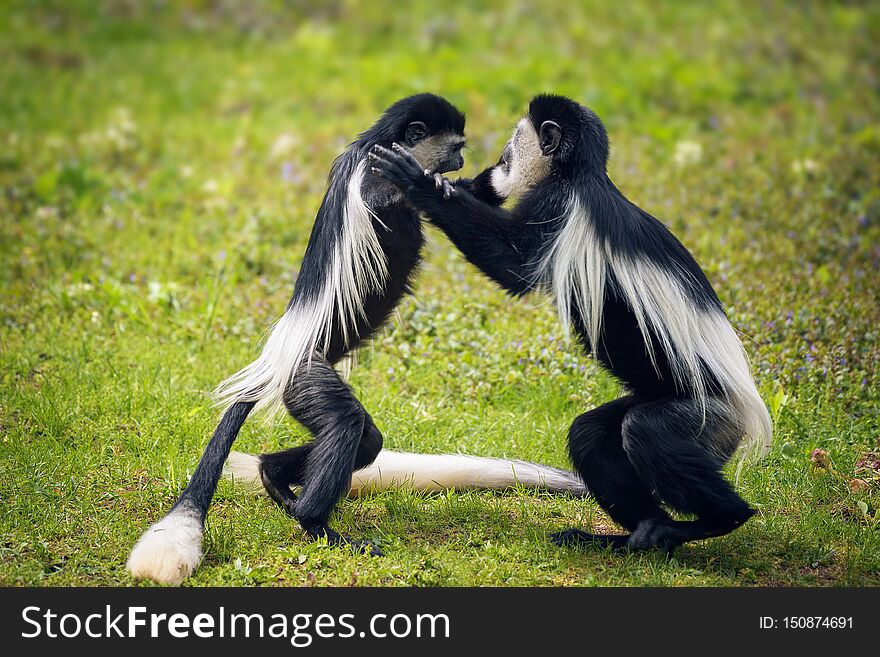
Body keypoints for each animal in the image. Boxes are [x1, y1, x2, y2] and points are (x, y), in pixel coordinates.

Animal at [127, 93, 580, 584]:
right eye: (456, 147)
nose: (461, 159)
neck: (374, 147)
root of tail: (274, 362)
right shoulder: (373, 179)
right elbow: (401, 194)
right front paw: (426, 184)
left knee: (366, 439)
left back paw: (274, 478)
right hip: (306, 379)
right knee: (346, 425)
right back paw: (317, 524)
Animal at [370, 93, 768, 552]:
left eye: (514, 141)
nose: (499, 160)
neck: (578, 175)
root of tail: (744, 411)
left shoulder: (556, 208)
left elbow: (515, 268)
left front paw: (417, 184)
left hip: (705, 417)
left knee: (647, 432)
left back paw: (718, 519)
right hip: (663, 403)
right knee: (591, 436)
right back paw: (639, 533)